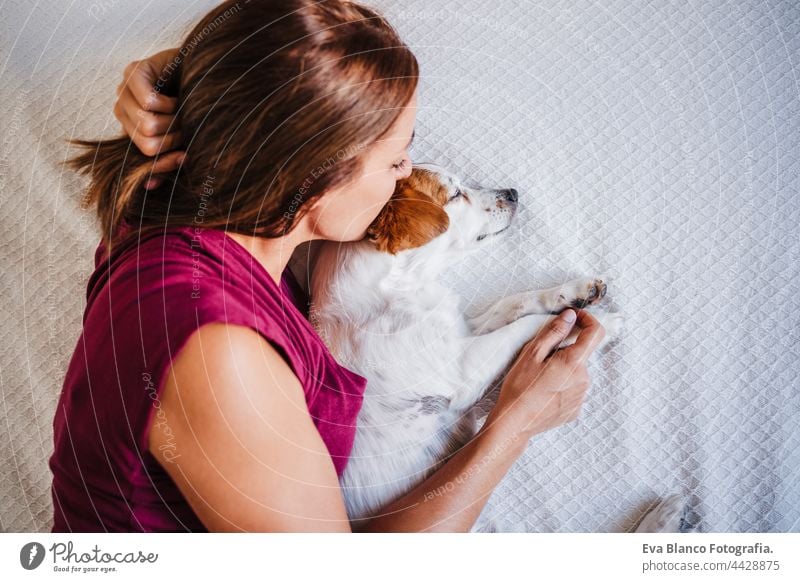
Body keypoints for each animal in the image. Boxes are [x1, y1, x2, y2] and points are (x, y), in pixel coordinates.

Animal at [312, 164, 688, 532]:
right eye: (455, 193)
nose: (513, 192)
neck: (399, 288)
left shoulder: (464, 330)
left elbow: (514, 304)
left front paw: (574, 292)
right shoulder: (462, 369)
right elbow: (527, 326)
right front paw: (598, 324)